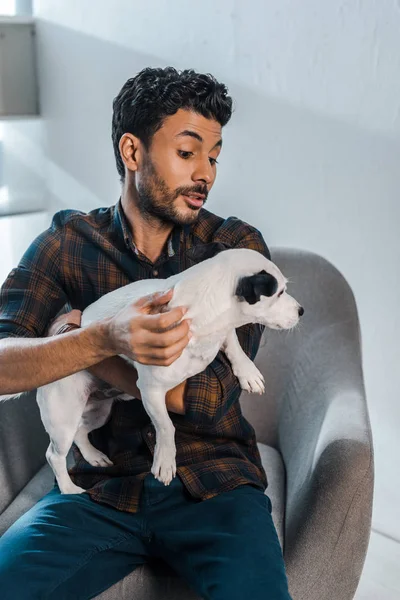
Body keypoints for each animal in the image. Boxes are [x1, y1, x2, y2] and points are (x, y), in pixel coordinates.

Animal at [0, 246, 300, 494]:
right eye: (280, 293)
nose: (302, 311)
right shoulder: (152, 391)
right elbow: (167, 426)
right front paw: (165, 461)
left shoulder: (222, 332)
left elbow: (234, 342)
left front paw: (248, 372)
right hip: (63, 416)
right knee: (55, 455)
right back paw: (69, 489)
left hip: (98, 412)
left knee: (81, 433)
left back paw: (93, 455)